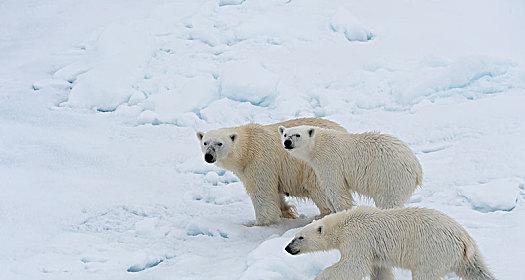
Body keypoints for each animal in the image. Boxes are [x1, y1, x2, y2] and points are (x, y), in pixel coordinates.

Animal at [194, 117, 346, 225]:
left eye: (219, 143)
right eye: (205, 143)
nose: (209, 156)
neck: (247, 147)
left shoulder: (259, 161)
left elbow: (263, 193)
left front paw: (258, 223)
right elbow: (276, 193)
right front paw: (287, 212)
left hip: (316, 165)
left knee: (319, 188)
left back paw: (323, 214)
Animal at [278, 126, 422, 211]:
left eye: (297, 135)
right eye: (285, 134)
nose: (287, 142)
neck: (318, 144)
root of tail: (417, 168)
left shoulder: (330, 161)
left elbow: (337, 190)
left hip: (390, 177)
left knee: (389, 201)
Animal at [284, 206, 494, 280]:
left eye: (299, 237)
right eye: (293, 236)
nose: (287, 248)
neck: (344, 223)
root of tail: (463, 238)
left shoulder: (358, 238)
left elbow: (353, 265)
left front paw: (320, 277)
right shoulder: (375, 251)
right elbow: (379, 270)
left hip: (432, 251)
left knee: (424, 274)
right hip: (467, 256)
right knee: (478, 271)